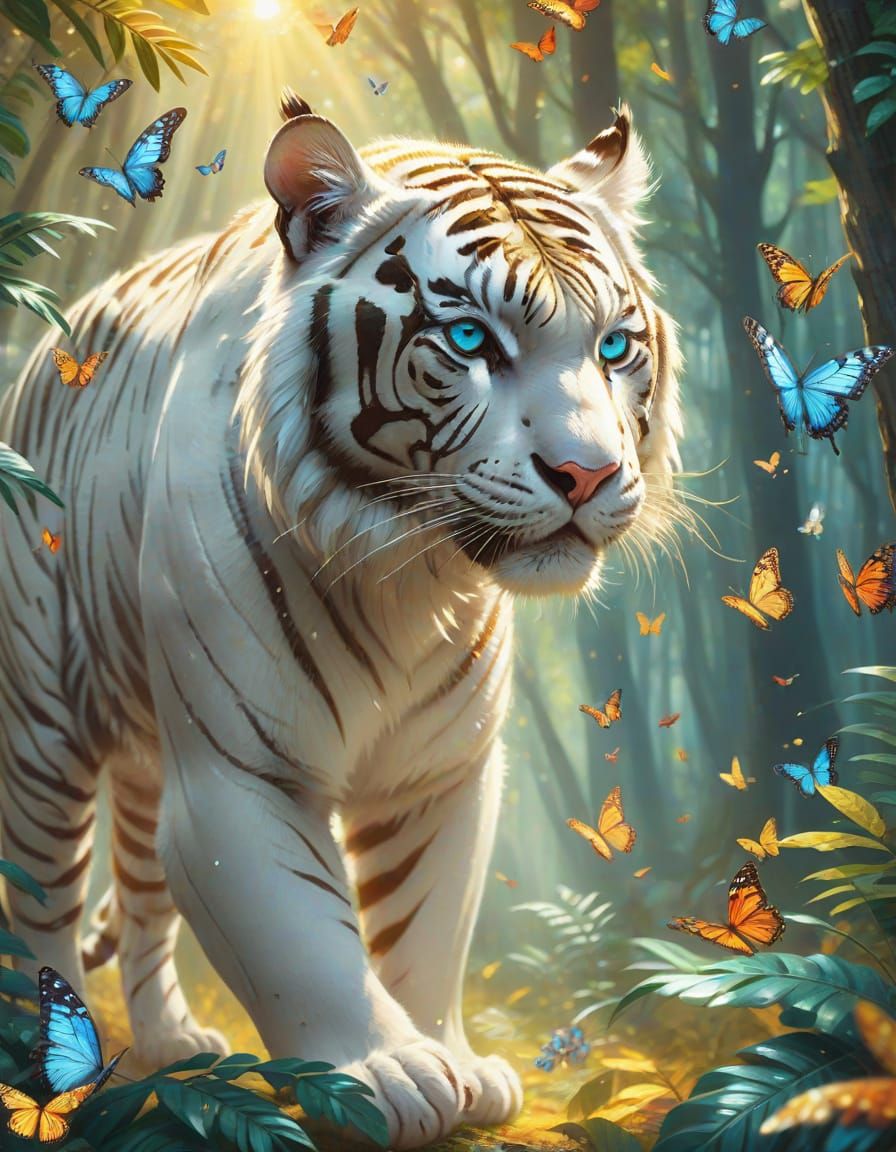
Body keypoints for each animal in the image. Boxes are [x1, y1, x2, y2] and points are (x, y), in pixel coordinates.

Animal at [0, 92, 682, 1147]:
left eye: (614, 346)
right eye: (471, 341)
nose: (589, 473)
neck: (412, 574)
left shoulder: (437, 770)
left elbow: (427, 921)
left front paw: (455, 1065)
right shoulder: (241, 773)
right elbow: (300, 933)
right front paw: (381, 1076)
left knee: (144, 898)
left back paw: (173, 1044)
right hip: (42, 722)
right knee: (44, 899)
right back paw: (54, 1068)